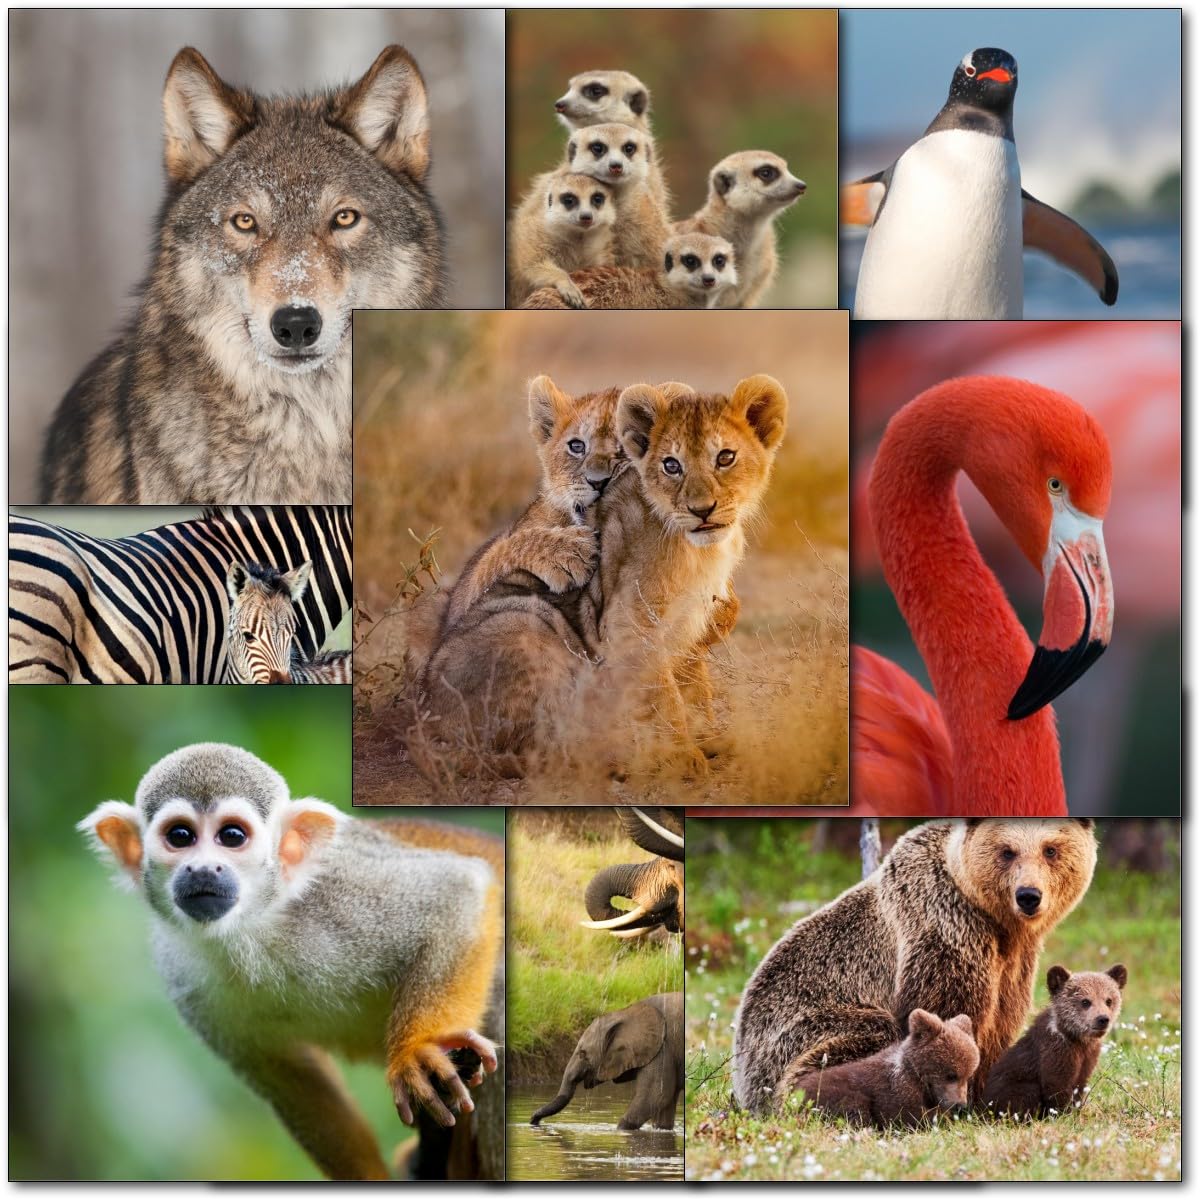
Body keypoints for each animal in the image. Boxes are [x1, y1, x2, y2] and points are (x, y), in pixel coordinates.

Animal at [78, 743, 503, 1181]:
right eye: (180, 837)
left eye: (231, 836)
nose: (202, 869)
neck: (252, 927)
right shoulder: (180, 972)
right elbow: (292, 1079)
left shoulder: (342, 892)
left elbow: (458, 890)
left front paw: (418, 1051)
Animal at [507, 170, 616, 308]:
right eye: (569, 200)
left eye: (597, 199)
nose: (586, 216)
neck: (578, 239)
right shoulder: (533, 235)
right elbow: (532, 264)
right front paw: (567, 284)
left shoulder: (600, 253)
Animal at [530, 992, 684, 1130]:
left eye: (582, 1054)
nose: (534, 1121)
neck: (625, 1012)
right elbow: (664, 1107)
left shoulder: (662, 1049)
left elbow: (655, 1096)